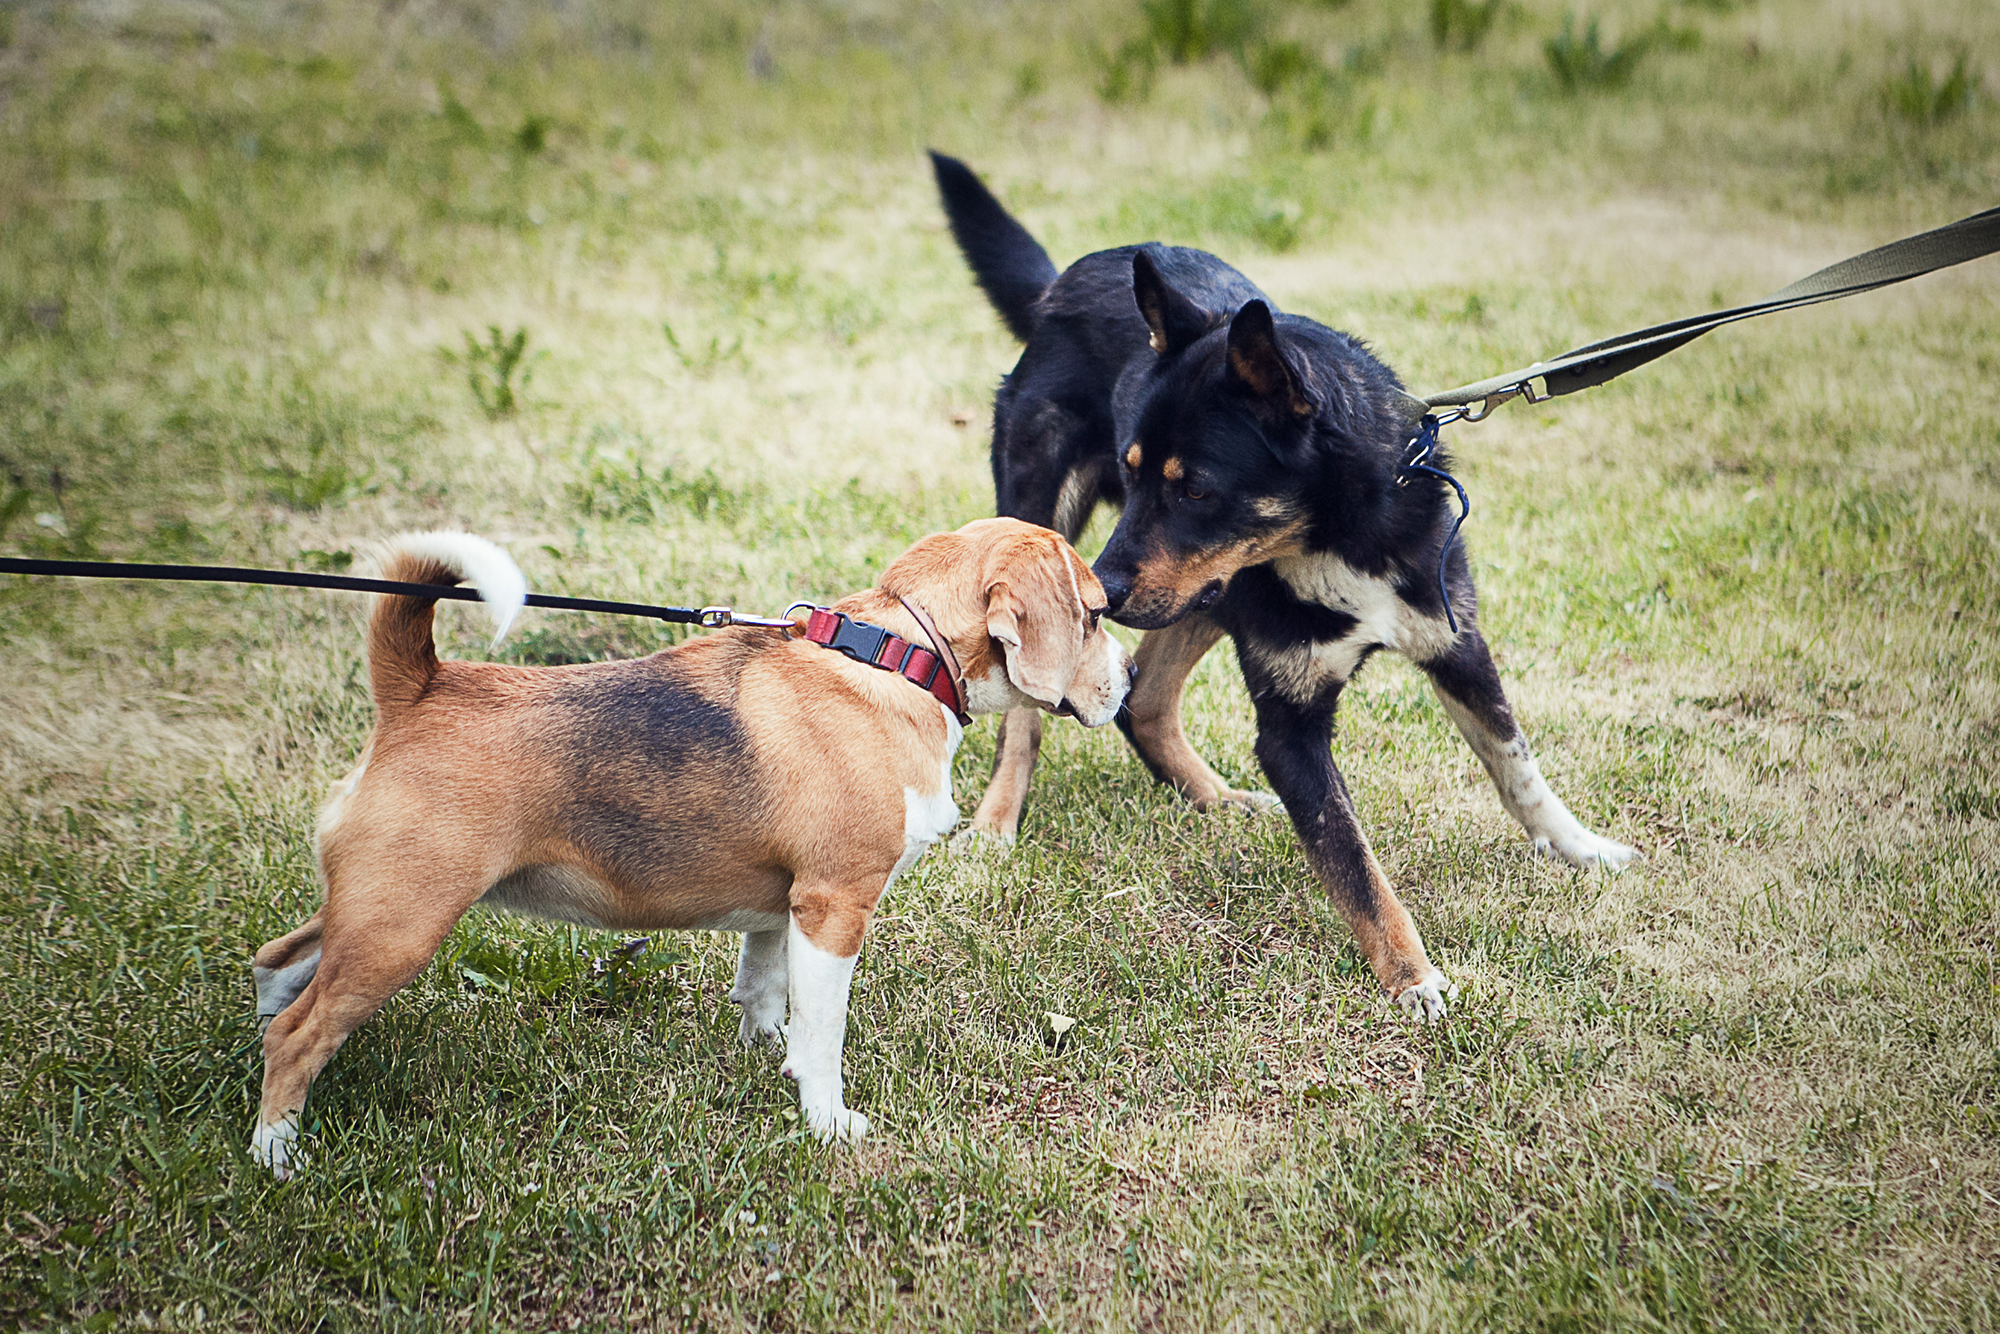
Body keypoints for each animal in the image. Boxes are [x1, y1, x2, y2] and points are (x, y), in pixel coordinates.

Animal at [250, 516, 1136, 1176]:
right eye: (1094, 615)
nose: (1129, 685)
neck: (900, 659)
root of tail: (421, 687)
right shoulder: (835, 905)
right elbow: (824, 1030)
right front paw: (826, 1119)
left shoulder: (784, 907)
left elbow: (767, 989)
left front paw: (768, 1054)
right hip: (402, 927)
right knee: (296, 1036)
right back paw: (276, 1156)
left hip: (369, 911)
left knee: (277, 969)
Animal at [928, 151, 1632, 1016]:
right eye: (1132, 467)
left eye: (1195, 487)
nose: (1103, 593)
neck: (1339, 534)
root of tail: (1063, 282)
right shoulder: (1290, 727)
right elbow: (1356, 867)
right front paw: (1413, 977)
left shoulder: (1456, 645)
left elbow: (1517, 765)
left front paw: (1577, 847)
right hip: (1073, 528)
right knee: (1035, 711)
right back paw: (999, 817)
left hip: (1196, 594)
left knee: (1144, 698)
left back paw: (1214, 798)